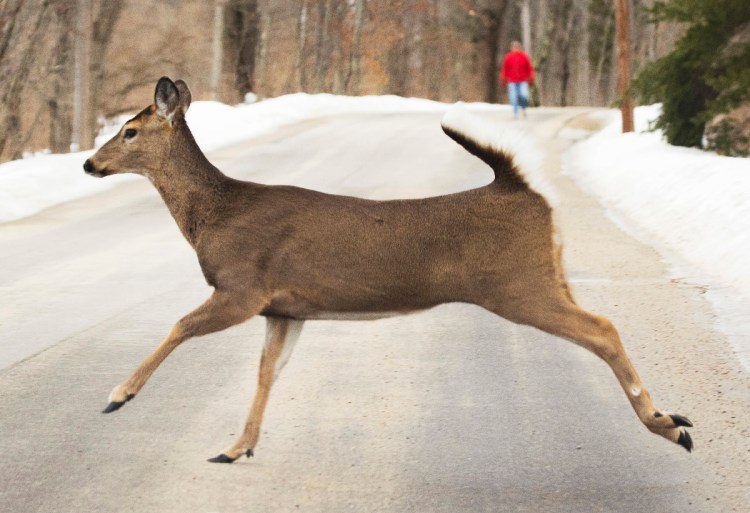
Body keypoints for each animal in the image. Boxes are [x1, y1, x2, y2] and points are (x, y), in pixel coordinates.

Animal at [85, 77, 696, 464]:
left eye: (130, 132)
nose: (90, 162)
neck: (215, 214)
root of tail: (522, 189)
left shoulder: (242, 287)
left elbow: (179, 327)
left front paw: (119, 394)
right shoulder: (284, 308)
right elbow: (266, 373)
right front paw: (237, 448)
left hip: (517, 285)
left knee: (603, 327)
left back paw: (667, 425)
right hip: (549, 275)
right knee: (599, 322)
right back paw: (672, 422)